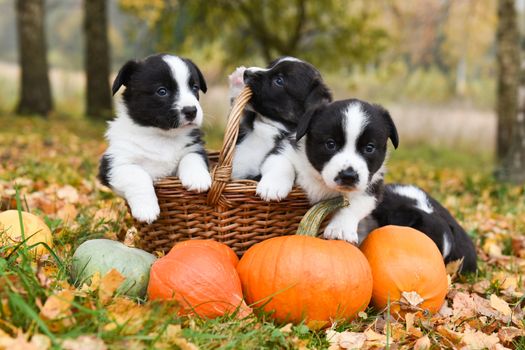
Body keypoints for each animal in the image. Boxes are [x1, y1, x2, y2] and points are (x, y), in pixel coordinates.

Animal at [98, 54, 211, 224]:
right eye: (162, 91)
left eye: (194, 88)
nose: (191, 110)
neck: (162, 136)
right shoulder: (113, 164)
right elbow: (138, 175)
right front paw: (146, 209)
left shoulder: (194, 146)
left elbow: (191, 157)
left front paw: (197, 178)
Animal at [260, 98, 400, 243]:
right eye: (330, 144)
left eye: (369, 148)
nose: (348, 176)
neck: (322, 181)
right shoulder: (283, 151)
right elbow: (281, 162)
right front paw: (274, 186)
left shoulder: (373, 187)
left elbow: (353, 205)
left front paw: (340, 229)